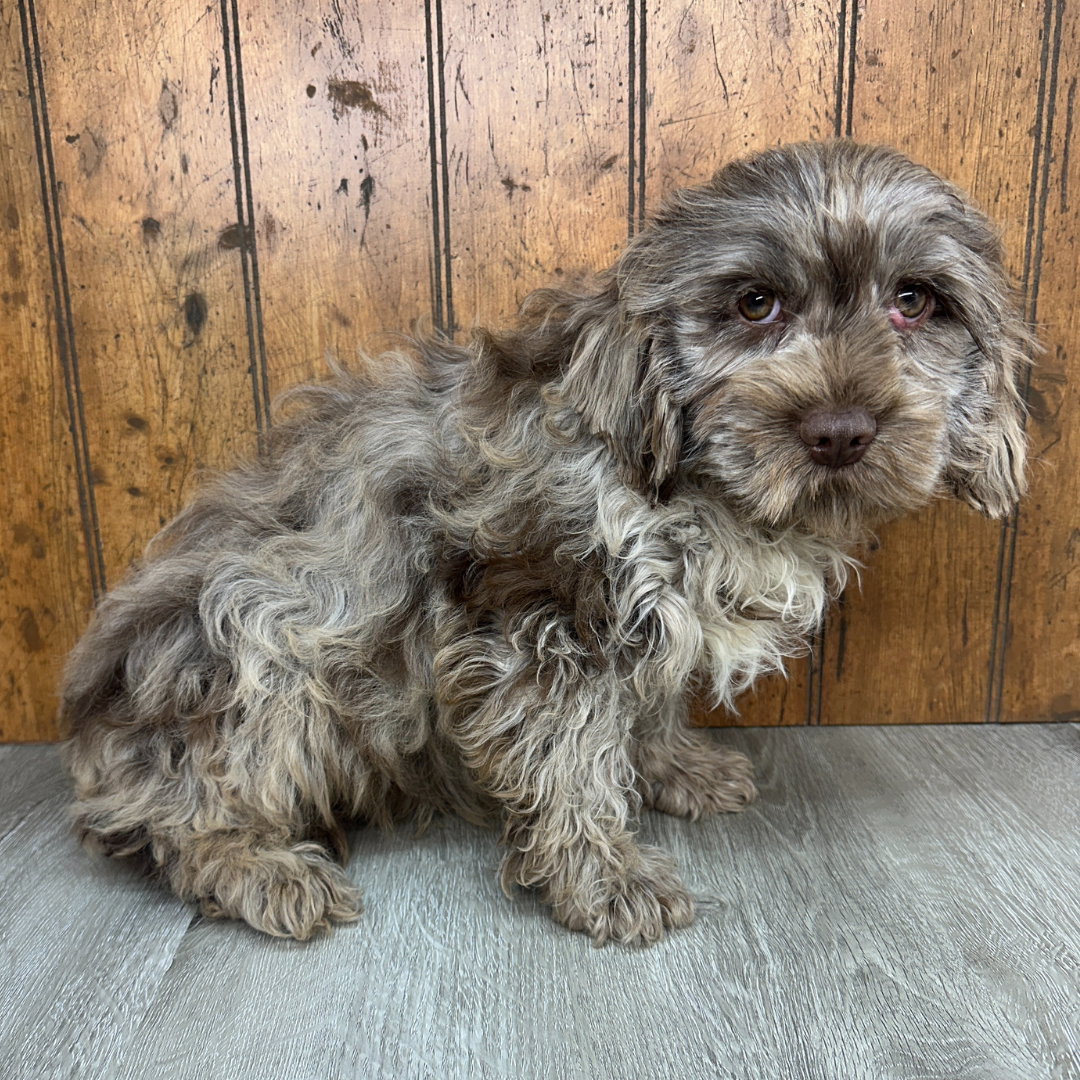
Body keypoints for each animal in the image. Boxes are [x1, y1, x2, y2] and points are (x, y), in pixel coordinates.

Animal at [61, 143, 1028, 946]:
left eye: (914, 301)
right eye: (756, 303)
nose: (840, 432)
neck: (690, 487)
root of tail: (93, 744)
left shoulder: (644, 615)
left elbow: (649, 703)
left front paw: (674, 768)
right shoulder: (539, 620)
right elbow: (569, 762)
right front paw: (602, 875)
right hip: (263, 644)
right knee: (177, 813)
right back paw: (255, 867)